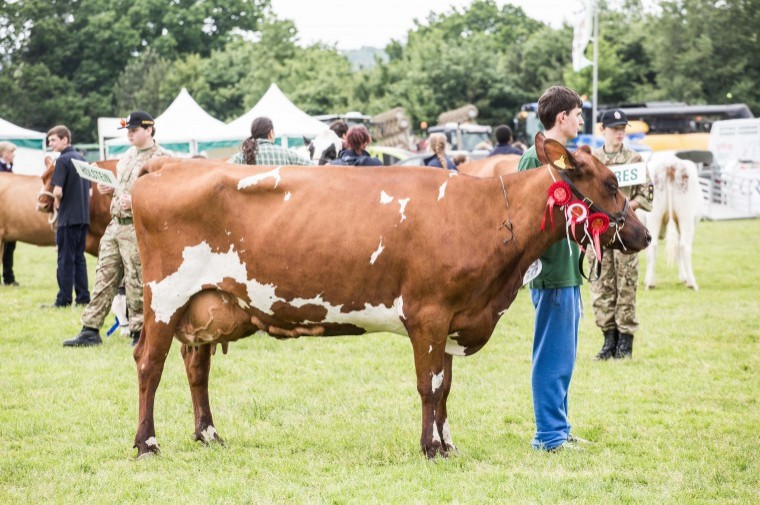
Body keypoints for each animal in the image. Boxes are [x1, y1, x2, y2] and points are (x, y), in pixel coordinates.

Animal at [644, 156, 704, 290]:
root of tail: (669, 164)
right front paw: (683, 278)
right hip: (686, 217)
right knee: (683, 246)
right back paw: (691, 283)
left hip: (656, 216)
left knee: (655, 246)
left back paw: (650, 282)